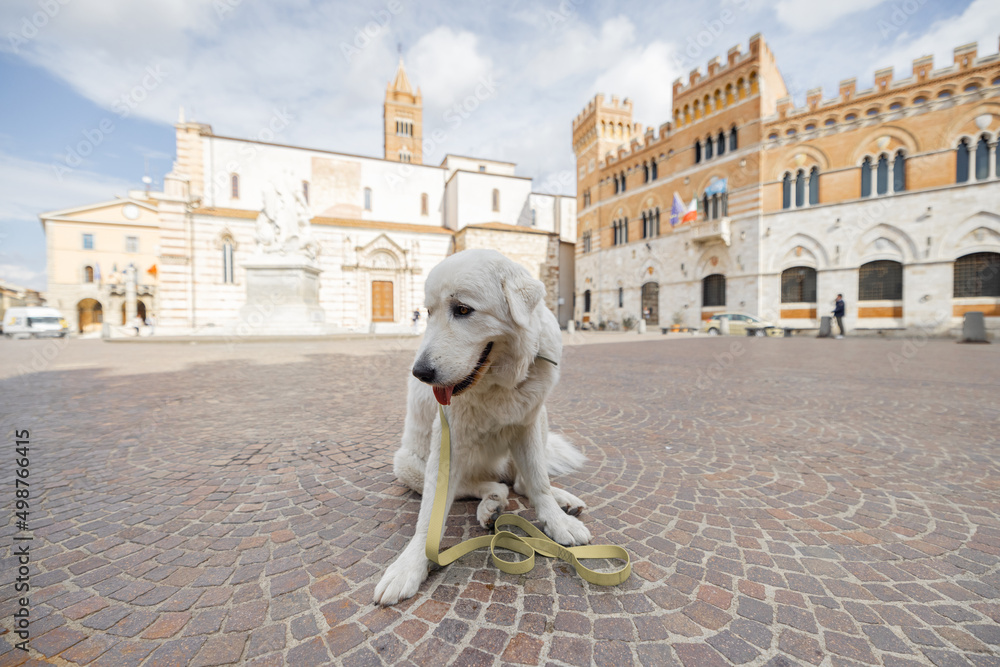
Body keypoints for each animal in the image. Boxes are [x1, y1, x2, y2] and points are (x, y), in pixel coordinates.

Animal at [376, 248, 592, 608]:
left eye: (463, 310)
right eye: (428, 312)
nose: (420, 373)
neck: (499, 382)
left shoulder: (528, 424)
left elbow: (539, 482)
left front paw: (556, 521)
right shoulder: (447, 441)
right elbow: (429, 517)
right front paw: (410, 566)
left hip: (542, 419)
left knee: (521, 482)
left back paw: (557, 500)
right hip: (406, 463)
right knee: (483, 486)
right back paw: (492, 502)